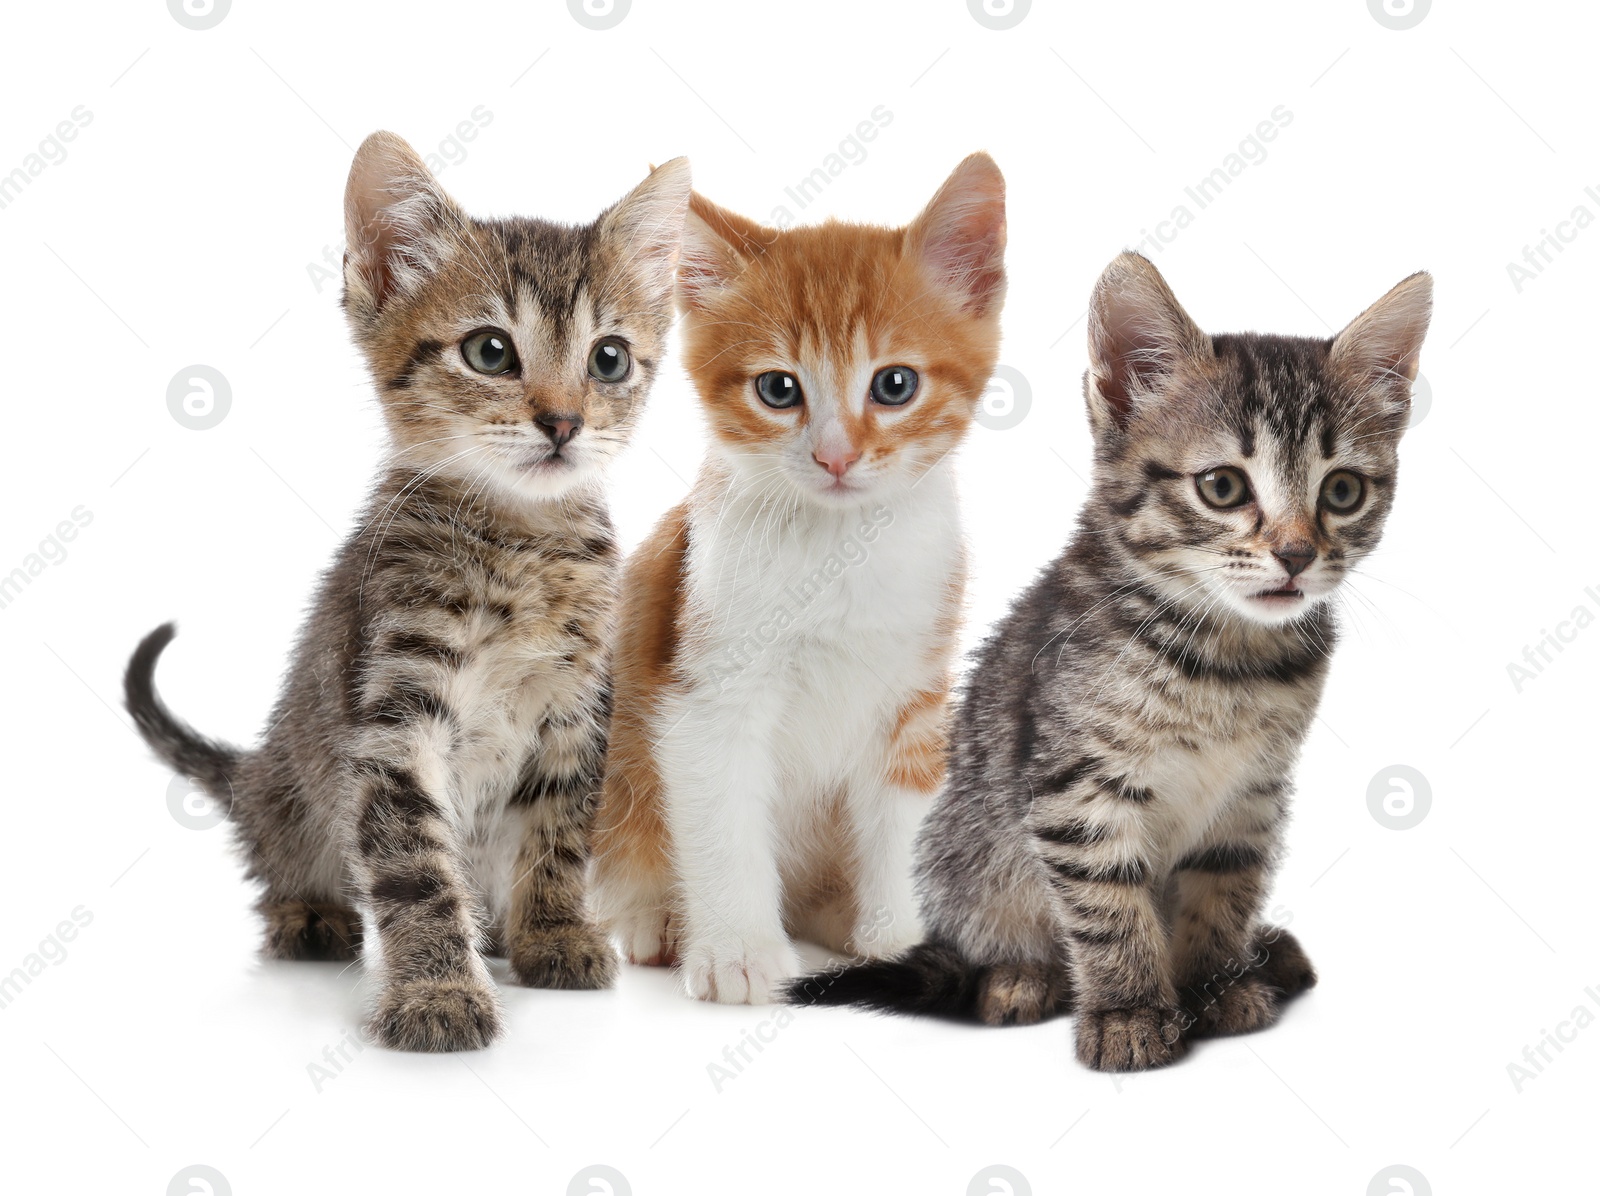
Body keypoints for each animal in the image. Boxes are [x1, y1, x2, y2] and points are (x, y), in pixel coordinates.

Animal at [128, 128, 691, 1048]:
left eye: (609, 359)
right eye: (490, 351)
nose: (564, 421)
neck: (523, 543)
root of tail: (254, 772)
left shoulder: (579, 710)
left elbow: (559, 834)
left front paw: (553, 931)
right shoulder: (395, 716)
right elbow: (415, 865)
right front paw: (437, 990)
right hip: (290, 792)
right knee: (288, 858)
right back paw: (310, 914)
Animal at [595, 156, 1004, 997]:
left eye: (895, 384)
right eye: (778, 389)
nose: (836, 455)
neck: (838, 550)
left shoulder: (916, 694)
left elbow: (907, 815)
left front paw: (905, 940)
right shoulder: (705, 687)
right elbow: (722, 820)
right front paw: (737, 953)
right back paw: (661, 922)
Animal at [780, 254, 1433, 1074]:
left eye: (1342, 490)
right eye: (1222, 486)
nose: (1295, 555)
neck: (1226, 660)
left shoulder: (1252, 793)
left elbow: (1225, 890)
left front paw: (1214, 983)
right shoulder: (1077, 790)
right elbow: (1109, 905)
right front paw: (1127, 1010)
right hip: (960, 853)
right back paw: (1018, 976)